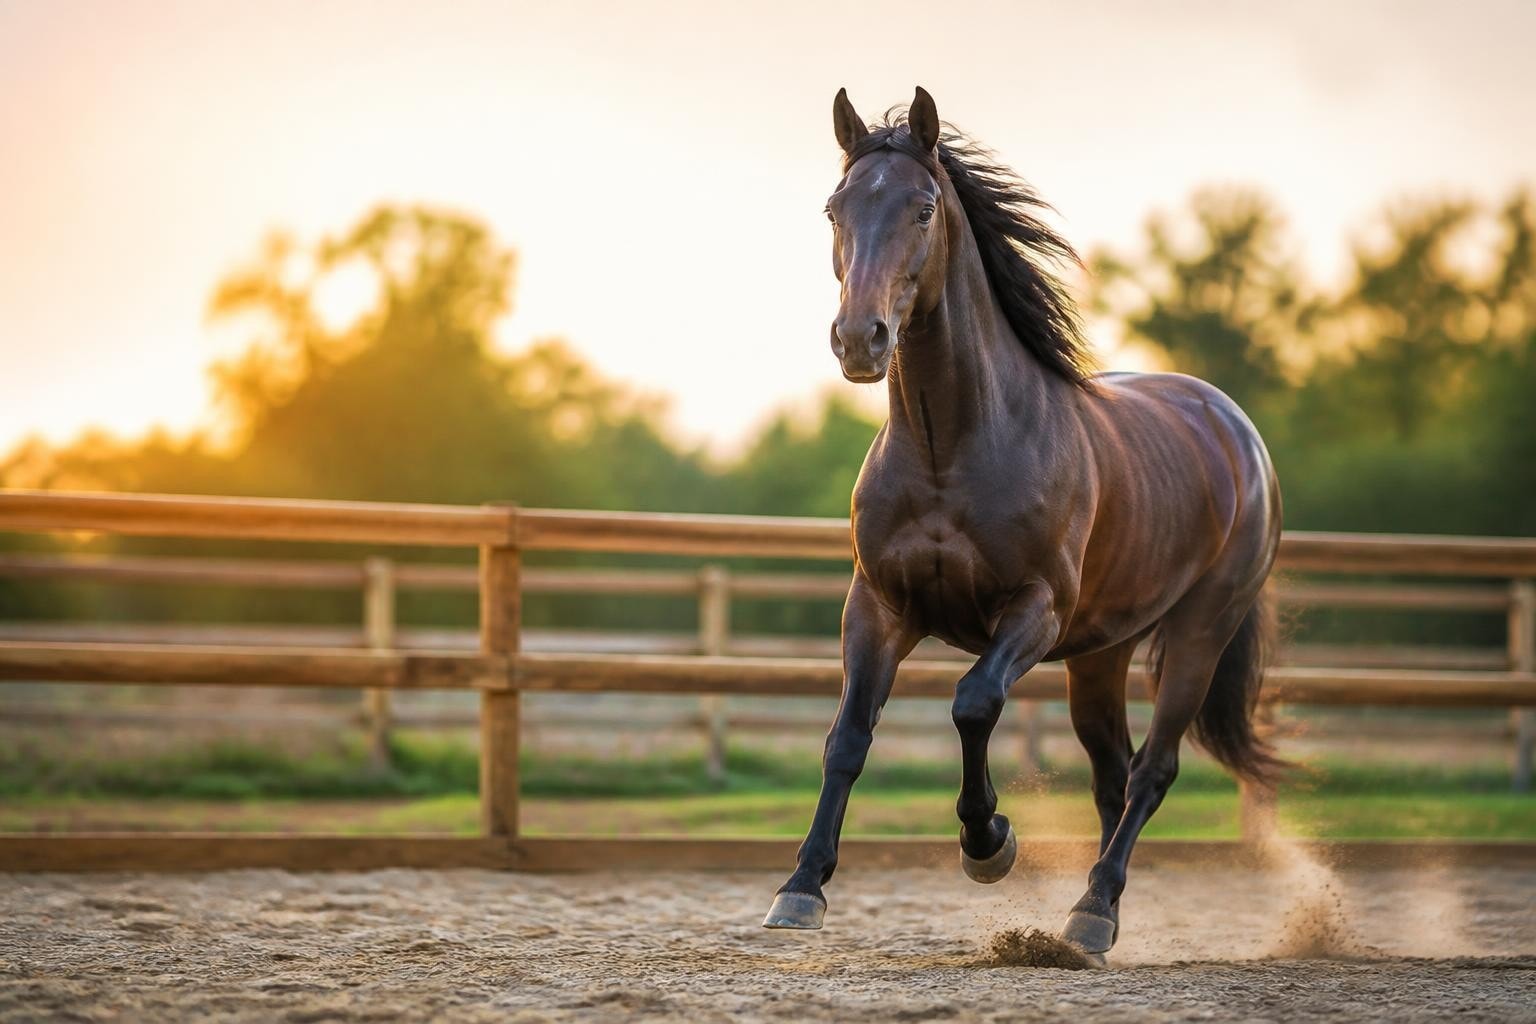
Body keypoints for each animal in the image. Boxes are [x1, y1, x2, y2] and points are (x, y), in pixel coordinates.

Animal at [761, 87, 1283, 966]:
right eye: (834, 208)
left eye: (923, 208)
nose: (859, 340)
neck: (952, 447)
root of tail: (1236, 428)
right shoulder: (878, 607)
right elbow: (847, 738)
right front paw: (800, 889)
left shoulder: (1033, 611)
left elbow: (973, 705)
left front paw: (990, 843)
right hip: (1101, 656)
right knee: (1114, 775)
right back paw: (1095, 920)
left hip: (1199, 634)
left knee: (1154, 770)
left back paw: (1092, 912)